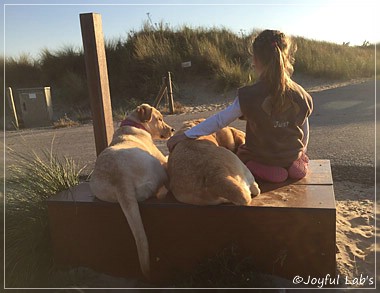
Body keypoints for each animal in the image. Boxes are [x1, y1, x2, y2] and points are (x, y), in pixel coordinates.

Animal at [89, 103, 174, 278]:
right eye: (160, 119)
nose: (172, 130)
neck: (133, 124)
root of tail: (120, 178)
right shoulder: (160, 157)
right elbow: (166, 158)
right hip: (157, 167)